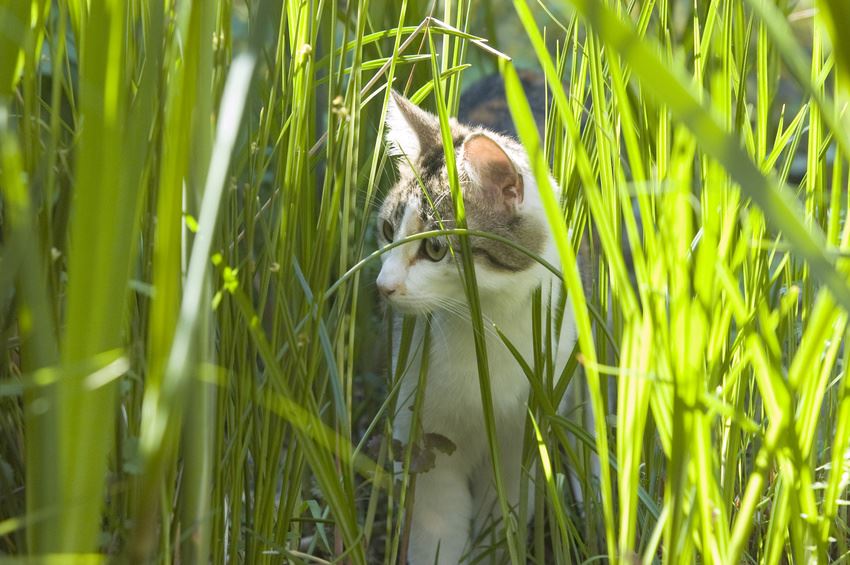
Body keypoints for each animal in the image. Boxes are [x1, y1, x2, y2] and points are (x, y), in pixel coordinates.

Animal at [378, 80, 584, 564]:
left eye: (435, 249)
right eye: (387, 231)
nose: (383, 285)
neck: (482, 326)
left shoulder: (522, 434)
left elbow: (504, 510)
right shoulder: (420, 427)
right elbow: (435, 522)